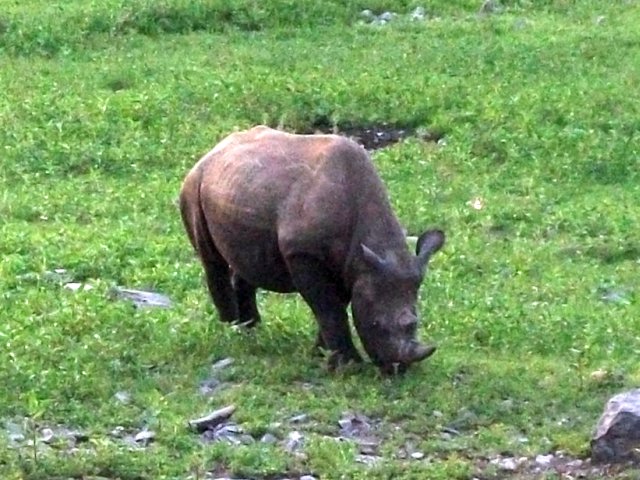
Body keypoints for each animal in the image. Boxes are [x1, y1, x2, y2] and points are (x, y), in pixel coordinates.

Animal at [178, 125, 442, 374]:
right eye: (377, 324)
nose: (397, 369)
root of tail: (214, 150)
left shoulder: (351, 265)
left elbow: (336, 305)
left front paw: (321, 354)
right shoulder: (303, 253)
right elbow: (328, 307)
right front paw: (347, 367)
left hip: (239, 186)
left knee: (246, 262)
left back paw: (251, 330)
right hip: (193, 186)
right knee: (212, 261)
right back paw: (230, 331)